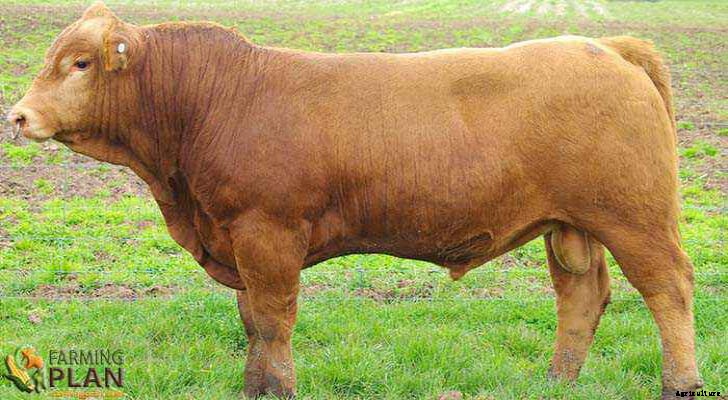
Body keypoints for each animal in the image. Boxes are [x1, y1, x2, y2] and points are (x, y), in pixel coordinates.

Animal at [7, 3, 702, 399]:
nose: (17, 116)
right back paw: (556, 381)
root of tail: (606, 47)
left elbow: (274, 321)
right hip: (570, 225)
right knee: (582, 296)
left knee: (667, 289)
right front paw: (255, 388)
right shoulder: (235, 238)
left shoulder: (268, 233)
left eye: (78, 63)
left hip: (634, 217)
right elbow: (251, 321)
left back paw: (681, 382)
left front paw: (280, 388)